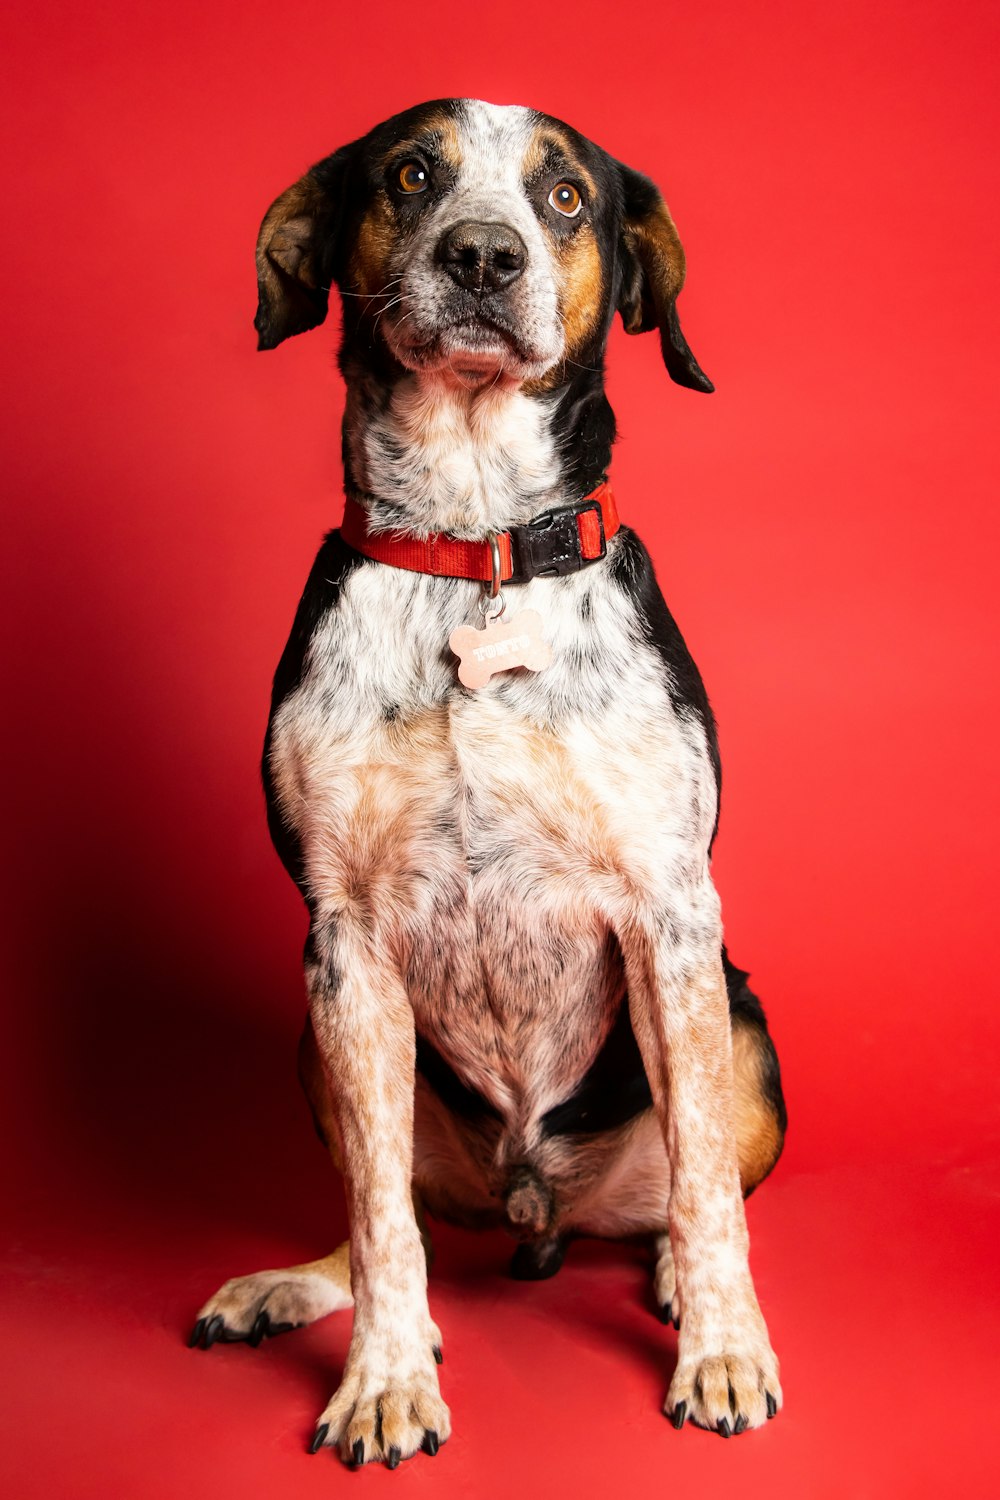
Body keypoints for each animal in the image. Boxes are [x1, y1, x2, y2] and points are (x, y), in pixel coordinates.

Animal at [189, 99, 791, 1470]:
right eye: (412, 176)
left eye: (564, 196)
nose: (480, 256)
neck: (474, 554)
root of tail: (534, 1207)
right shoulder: (345, 941)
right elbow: (381, 1221)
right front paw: (385, 1380)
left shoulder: (671, 920)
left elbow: (703, 1189)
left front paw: (722, 1350)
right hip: (322, 1044)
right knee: (388, 1213)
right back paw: (295, 1285)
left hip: (742, 1029)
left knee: (687, 1192)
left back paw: (673, 1278)